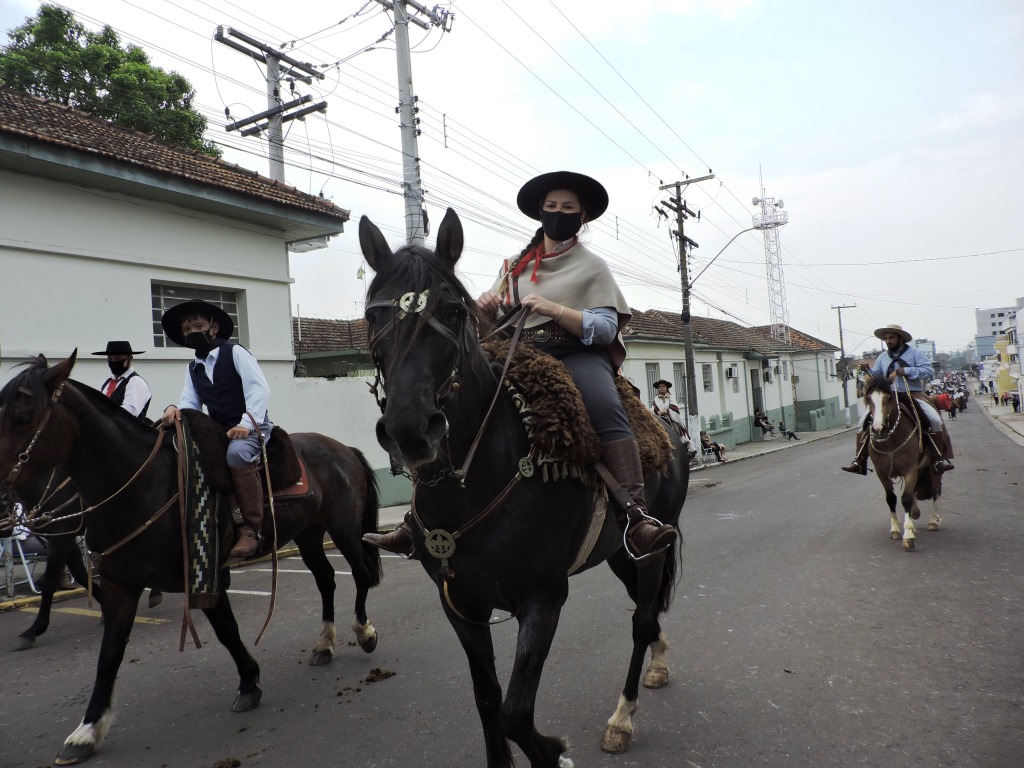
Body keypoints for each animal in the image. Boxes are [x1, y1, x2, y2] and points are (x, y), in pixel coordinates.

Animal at [0, 358, 382, 765]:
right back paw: (324, 644)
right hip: (309, 535)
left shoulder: (206, 573)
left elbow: (227, 631)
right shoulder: (121, 584)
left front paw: (249, 683)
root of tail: (342, 449)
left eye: (23, 416)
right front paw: (87, 731)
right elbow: (109, 655)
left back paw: (364, 632)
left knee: (359, 574)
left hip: (343, 530)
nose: (3, 498)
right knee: (326, 579)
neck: (143, 485)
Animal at [360, 210, 688, 768]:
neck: (468, 485)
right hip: (618, 554)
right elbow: (488, 701)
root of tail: (667, 427)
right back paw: (660, 664)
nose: (410, 430)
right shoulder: (460, 606)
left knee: (643, 619)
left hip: (650, 551)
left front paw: (553, 752)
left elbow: (515, 711)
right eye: (372, 315)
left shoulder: (543, 599)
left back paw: (622, 719)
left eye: (452, 309)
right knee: (646, 615)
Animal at [864, 376, 942, 548]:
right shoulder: (881, 472)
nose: (878, 429)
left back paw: (933, 521)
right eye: (869, 399)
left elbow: (906, 498)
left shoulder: (910, 469)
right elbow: (891, 498)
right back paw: (915, 513)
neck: (889, 440)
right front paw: (895, 529)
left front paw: (908, 536)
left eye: (889, 398)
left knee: (935, 490)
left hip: (932, 467)